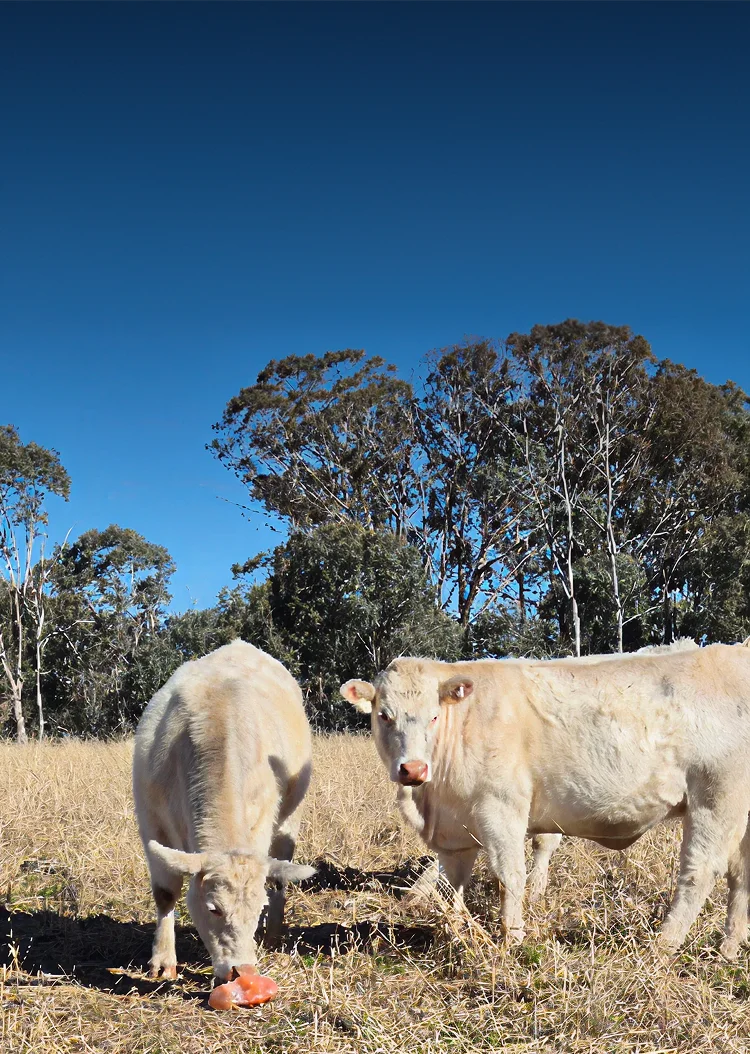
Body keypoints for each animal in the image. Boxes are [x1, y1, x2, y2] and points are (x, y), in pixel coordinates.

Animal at [133, 640, 314, 982]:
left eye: (257, 909)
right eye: (213, 908)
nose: (241, 971)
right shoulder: (151, 820)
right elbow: (165, 893)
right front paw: (162, 960)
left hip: (290, 819)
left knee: (280, 876)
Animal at [341, 640, 750, 958]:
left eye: (434, 716)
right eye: (384, 715)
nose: (412, 769)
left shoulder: (500, 807)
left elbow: (510, 875)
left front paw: (512, 940)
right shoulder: (456, 828)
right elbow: (452, 882)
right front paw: (454, 931)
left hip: (717, 798)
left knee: (700, 872)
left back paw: (662, 948)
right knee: (740, 875)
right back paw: (729, 949)